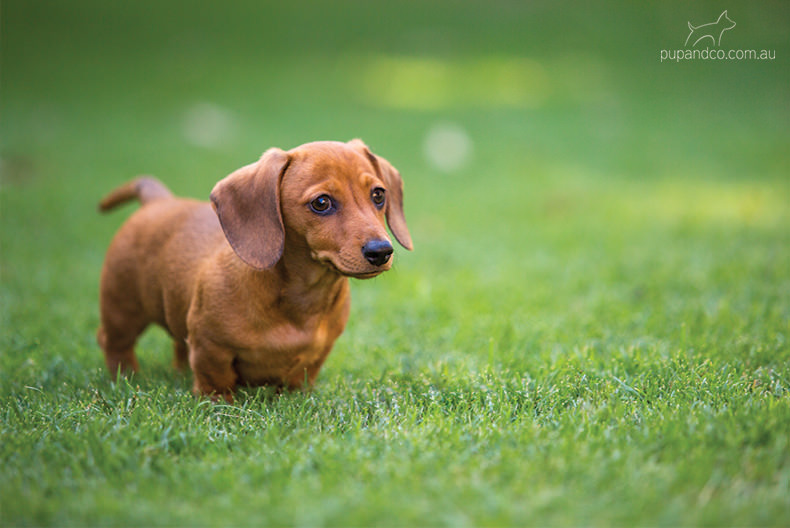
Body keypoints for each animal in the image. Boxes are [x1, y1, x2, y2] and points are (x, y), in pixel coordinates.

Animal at [96, 140, 412, 400]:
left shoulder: (316, 356)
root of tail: (157, 201)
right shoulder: (211, 347)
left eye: (378, 195)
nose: (381, 251)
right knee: (114, 343)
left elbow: (300, 379)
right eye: (321, 202)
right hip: (122, 307)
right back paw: (126, 378)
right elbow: (216, 380)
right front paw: (219, 405)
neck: (304, 297)